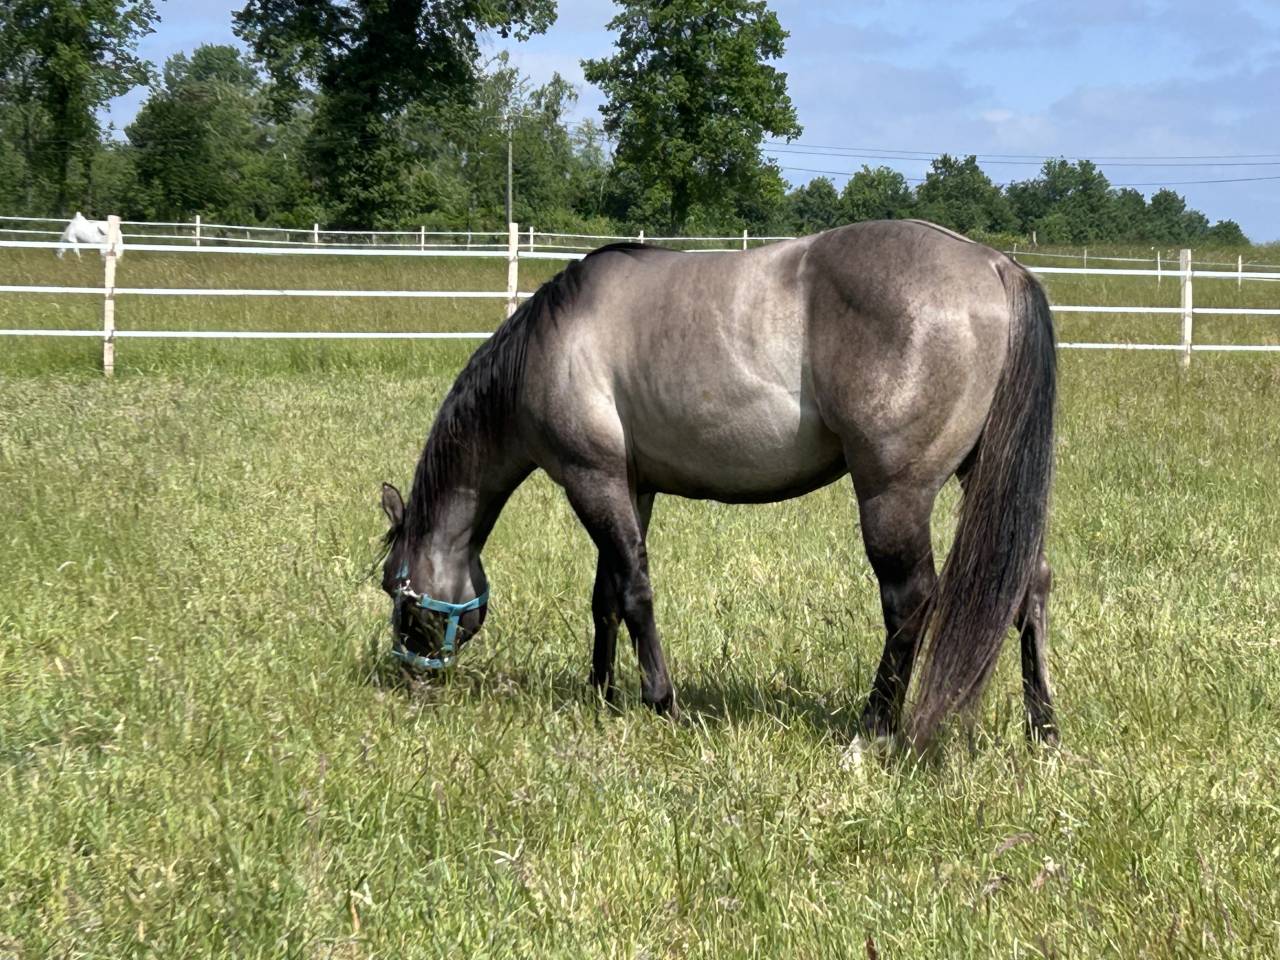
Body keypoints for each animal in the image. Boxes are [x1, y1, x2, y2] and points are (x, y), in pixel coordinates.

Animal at [379, 219, 1057, 749]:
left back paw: (873, 734)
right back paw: (1043, 731)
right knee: (1030, 587)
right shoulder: (629, 486)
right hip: (984, 481)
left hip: (894, 496)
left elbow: (635, 593)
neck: (551, 347)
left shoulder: (590, 479)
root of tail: (995, 265)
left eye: (395, 588)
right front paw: (601, 695)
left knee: (910, 603)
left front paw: (661, 701)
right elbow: (606, 595)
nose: (410, 677)